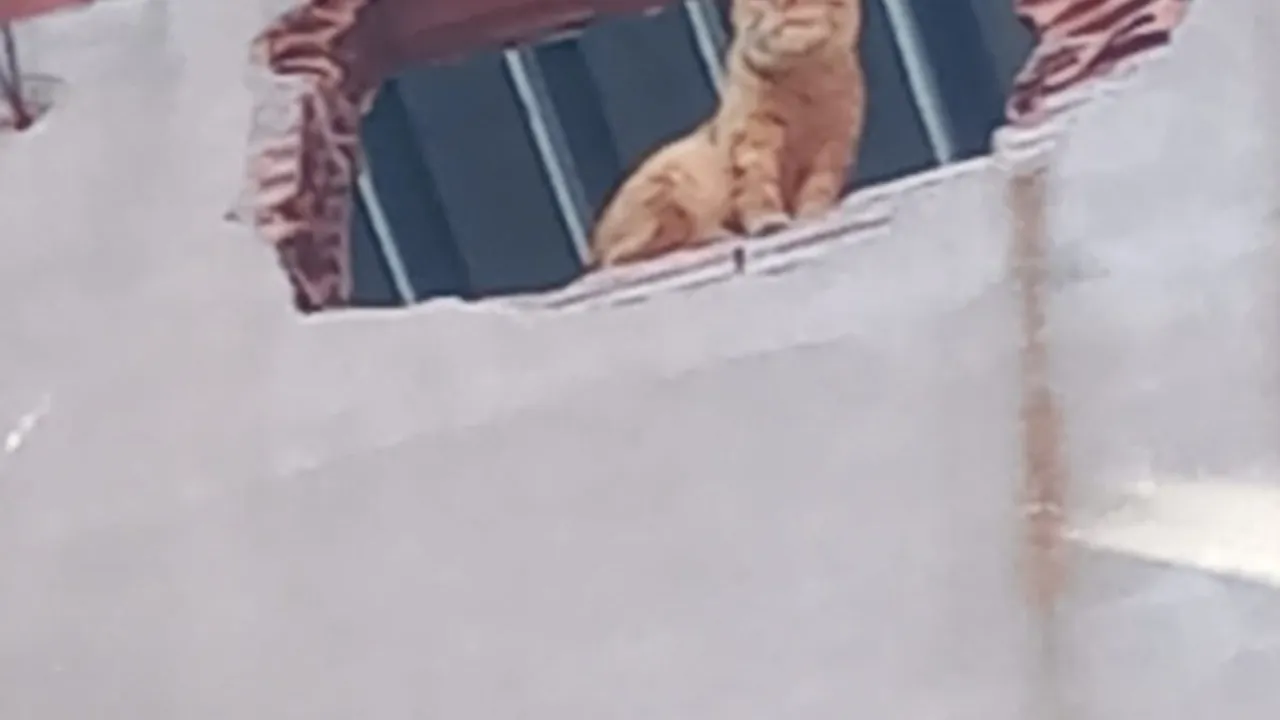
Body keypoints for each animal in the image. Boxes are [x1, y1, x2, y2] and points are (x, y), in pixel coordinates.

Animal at [587, 0, 865, 269]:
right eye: (759, 7)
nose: (777, 12)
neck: (803, 77)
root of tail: (595, 244)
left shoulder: (834, 146)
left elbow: (818, 187)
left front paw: (813, 212)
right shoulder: (751, 143)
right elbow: (757, 187)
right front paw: (767, 221)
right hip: (667, 187)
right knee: (634, 249)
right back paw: (717, 235)